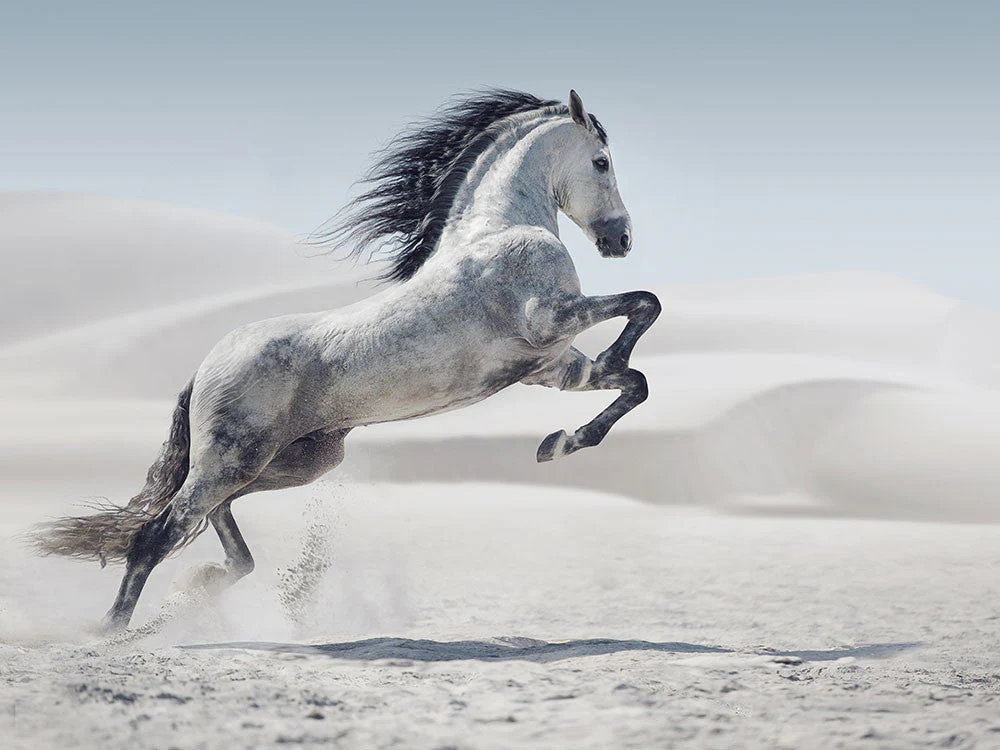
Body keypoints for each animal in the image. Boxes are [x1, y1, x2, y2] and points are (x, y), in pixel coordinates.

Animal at [32, 89, 661, 632]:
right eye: (602, 161)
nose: (621, 240)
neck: (500, 229)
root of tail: (205, 366)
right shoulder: (549, 319)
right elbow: (644, 304)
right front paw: (573, 421)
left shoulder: (552, 367)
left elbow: (634, 381)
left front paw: (559, 443)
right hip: (235, 459)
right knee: (159, 532)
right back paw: (111, 631)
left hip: (293, 462)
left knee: (213, 519)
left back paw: (206, 583)